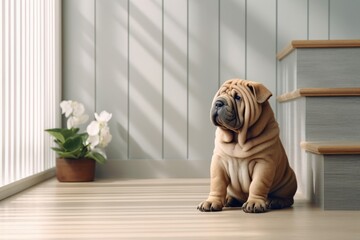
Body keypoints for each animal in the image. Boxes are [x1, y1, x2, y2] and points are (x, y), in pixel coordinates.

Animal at [198, 79, 296, 214]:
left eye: (238, 97)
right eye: (219, 95)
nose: (218, 103)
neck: (238, 139)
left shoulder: (263, 163)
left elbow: (258, 184)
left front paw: (254, 203)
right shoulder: (218, 162)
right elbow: (217, 183)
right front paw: (212, 201)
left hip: (289, 180)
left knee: (287, 197)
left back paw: (276, 201)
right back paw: (229, 199)